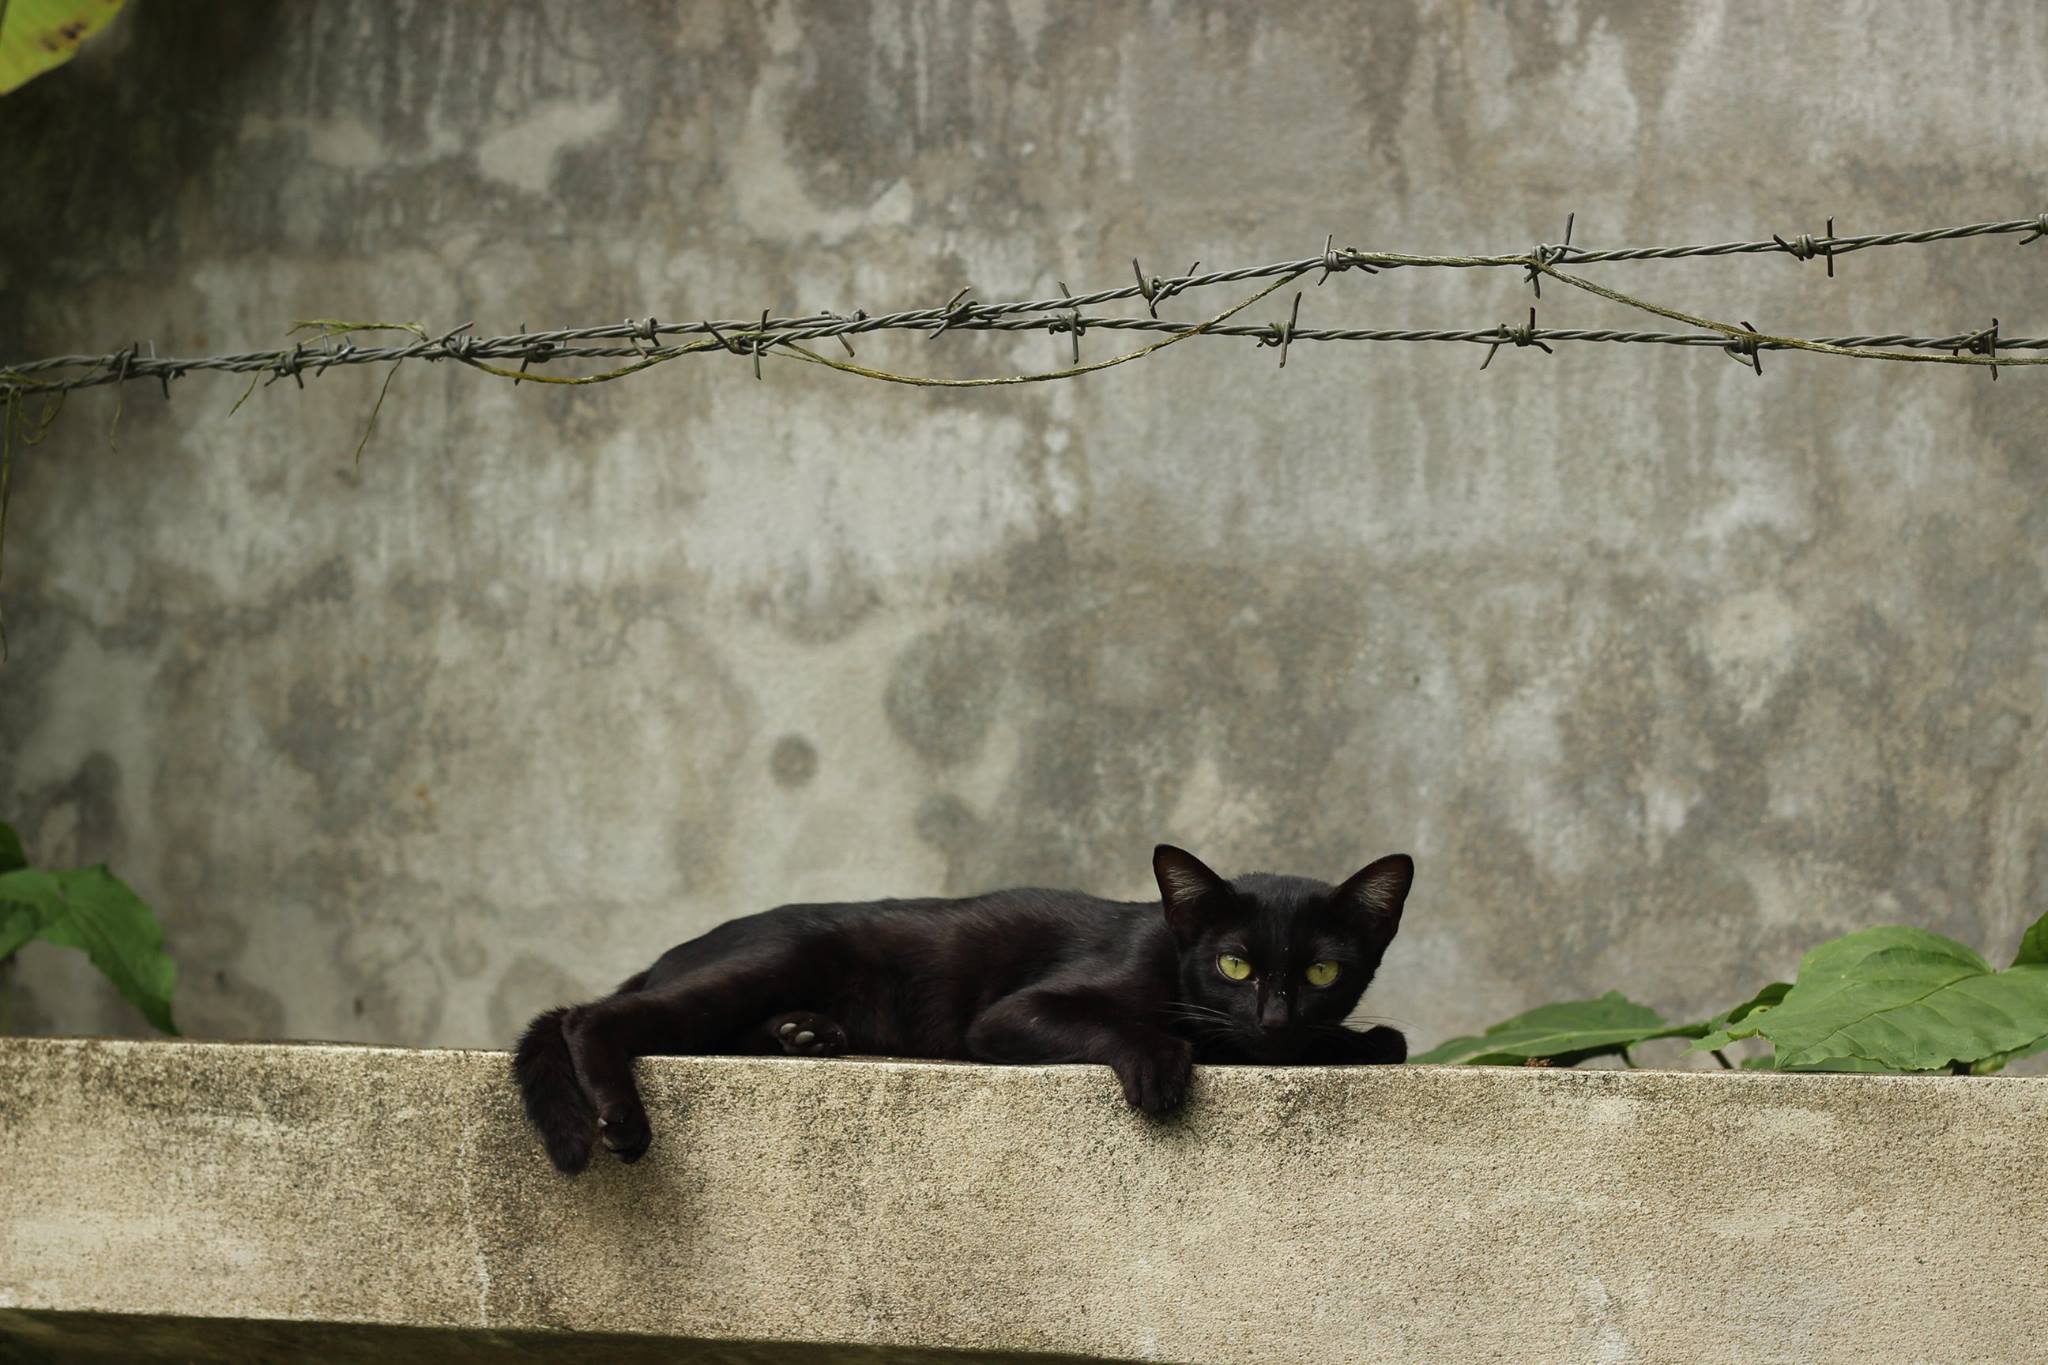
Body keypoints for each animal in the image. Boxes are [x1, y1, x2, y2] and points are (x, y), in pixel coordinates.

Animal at [514, 844, 1412, 1174]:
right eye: (1234, 964)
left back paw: (805, 1033)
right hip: (772, 957)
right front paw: (1162, 1063)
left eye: (1323, 970)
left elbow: (1386, 1040)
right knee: (593, 1017)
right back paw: (623, 1118)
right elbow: (1146, 1027)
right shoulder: (1011, 1015)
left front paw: (1364, 1038)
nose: (1275, 1018)